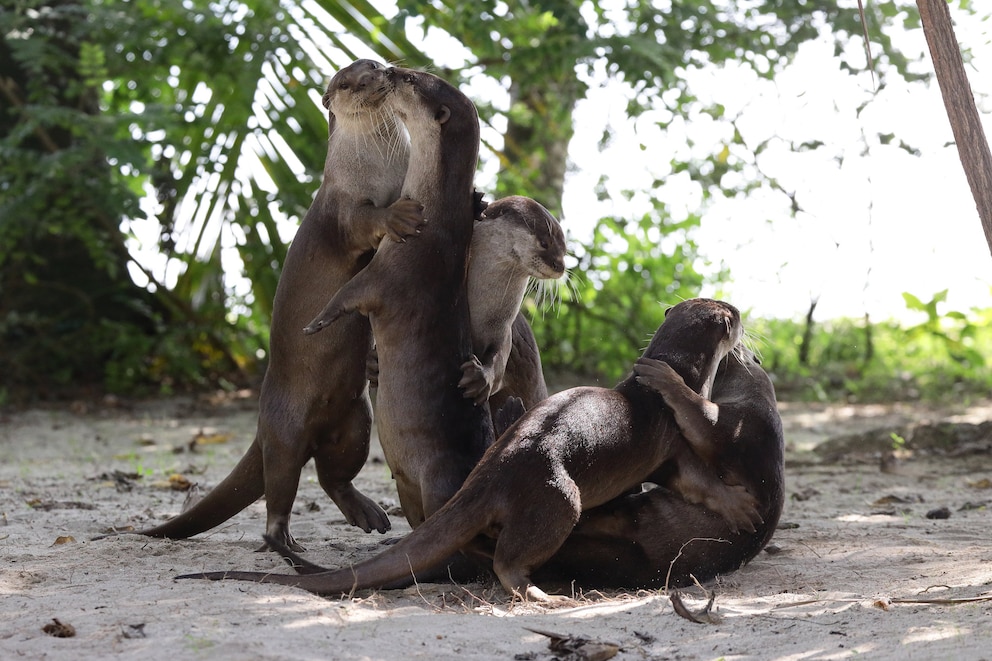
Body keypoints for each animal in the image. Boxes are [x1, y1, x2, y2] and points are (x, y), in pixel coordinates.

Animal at [98, 59, 426, 548]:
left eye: (371, 66)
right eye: (346, 83)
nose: (374, 78)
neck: (377, 171)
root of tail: (261, 425)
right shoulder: (342, 207)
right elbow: (364, 221)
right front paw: (398, 215)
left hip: (356, 423)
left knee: (332, 474)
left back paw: (366, 513)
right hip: (285, 433)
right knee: (282, 481)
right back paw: (283, 537)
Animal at [176, 298, 760, 600]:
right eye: (731, 317)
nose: (741, 309)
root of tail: (497, 469)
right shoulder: (672, 443)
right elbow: (696, 479)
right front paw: (741, 506)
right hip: (559, 495)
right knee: (510, 560)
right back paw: (538, 593)